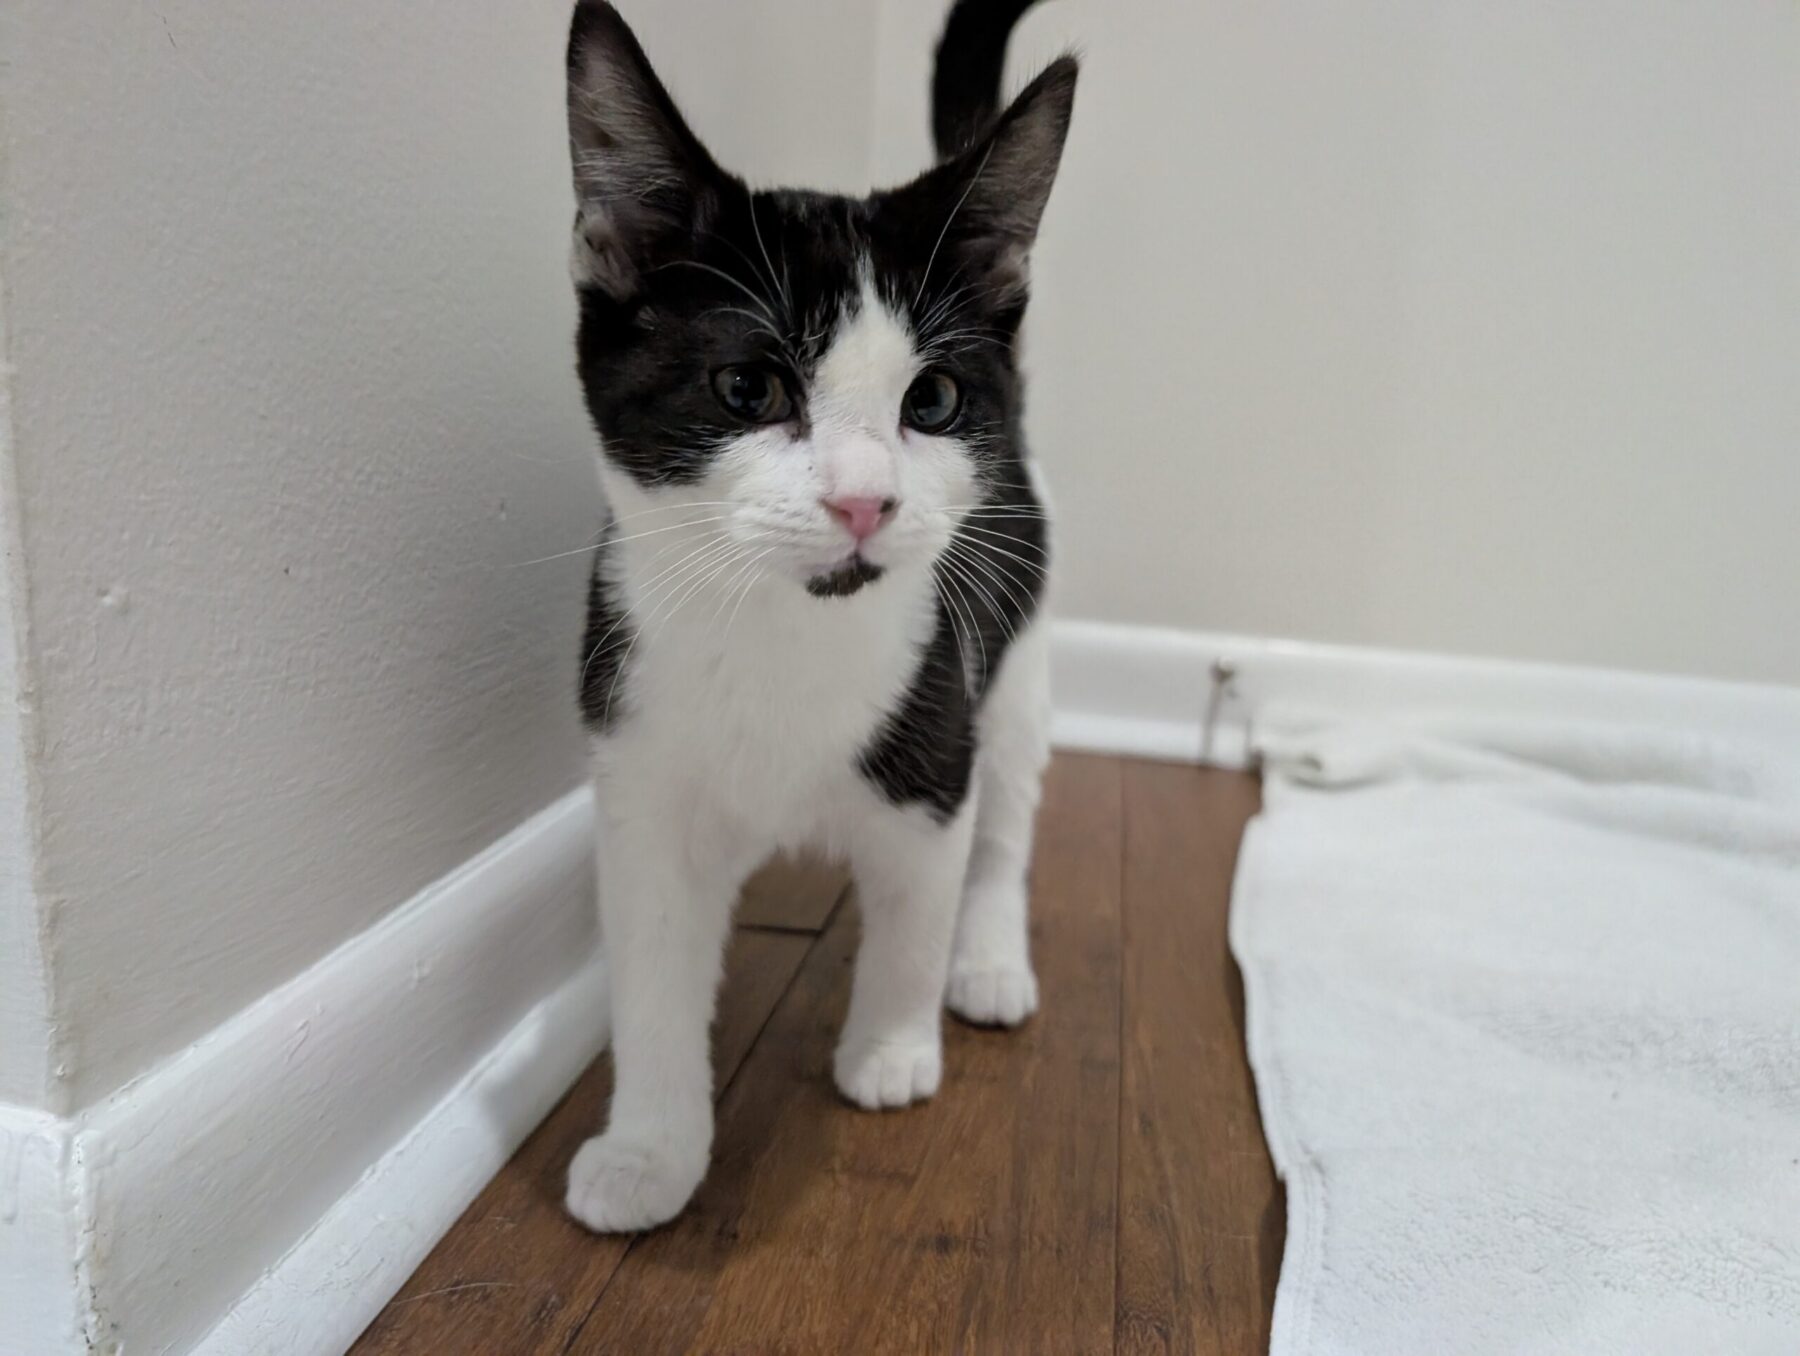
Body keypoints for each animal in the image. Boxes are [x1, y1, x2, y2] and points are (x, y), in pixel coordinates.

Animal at [563, 0, 1076, 1232]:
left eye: (931, 400)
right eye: (749, 388)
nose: (863, 500)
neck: (778, 641)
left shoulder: (936, 742)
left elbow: (916, 906)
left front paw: (889, 1049)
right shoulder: (638, 768)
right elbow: (651, 966)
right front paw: (649, 1150)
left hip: (1018, 654)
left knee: (1008, 818)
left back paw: (990, 959)